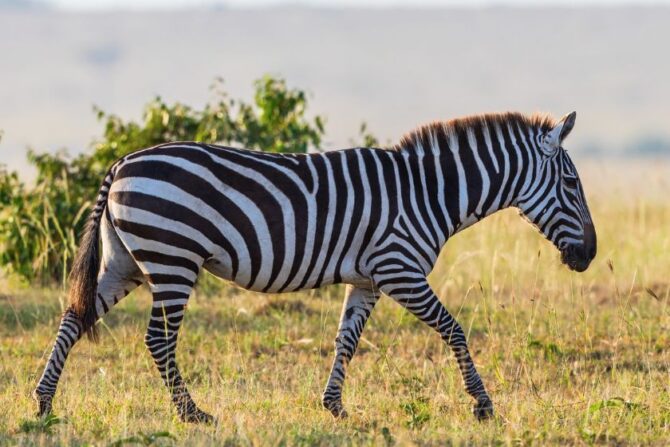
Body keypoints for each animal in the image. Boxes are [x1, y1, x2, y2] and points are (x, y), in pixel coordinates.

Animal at [34, 110, 596, 423]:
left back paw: (42, 403)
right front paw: (482, 406)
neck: (428, 193)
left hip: (125, 261)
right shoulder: (399, 270)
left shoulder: (368, 279)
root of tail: (121, 162)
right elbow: (454, 329)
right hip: (173, 260)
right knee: (157, 339)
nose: (588, 256)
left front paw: (334, 407)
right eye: (571, 184)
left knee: (74, 318)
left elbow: (345, 340)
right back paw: (192, 414)